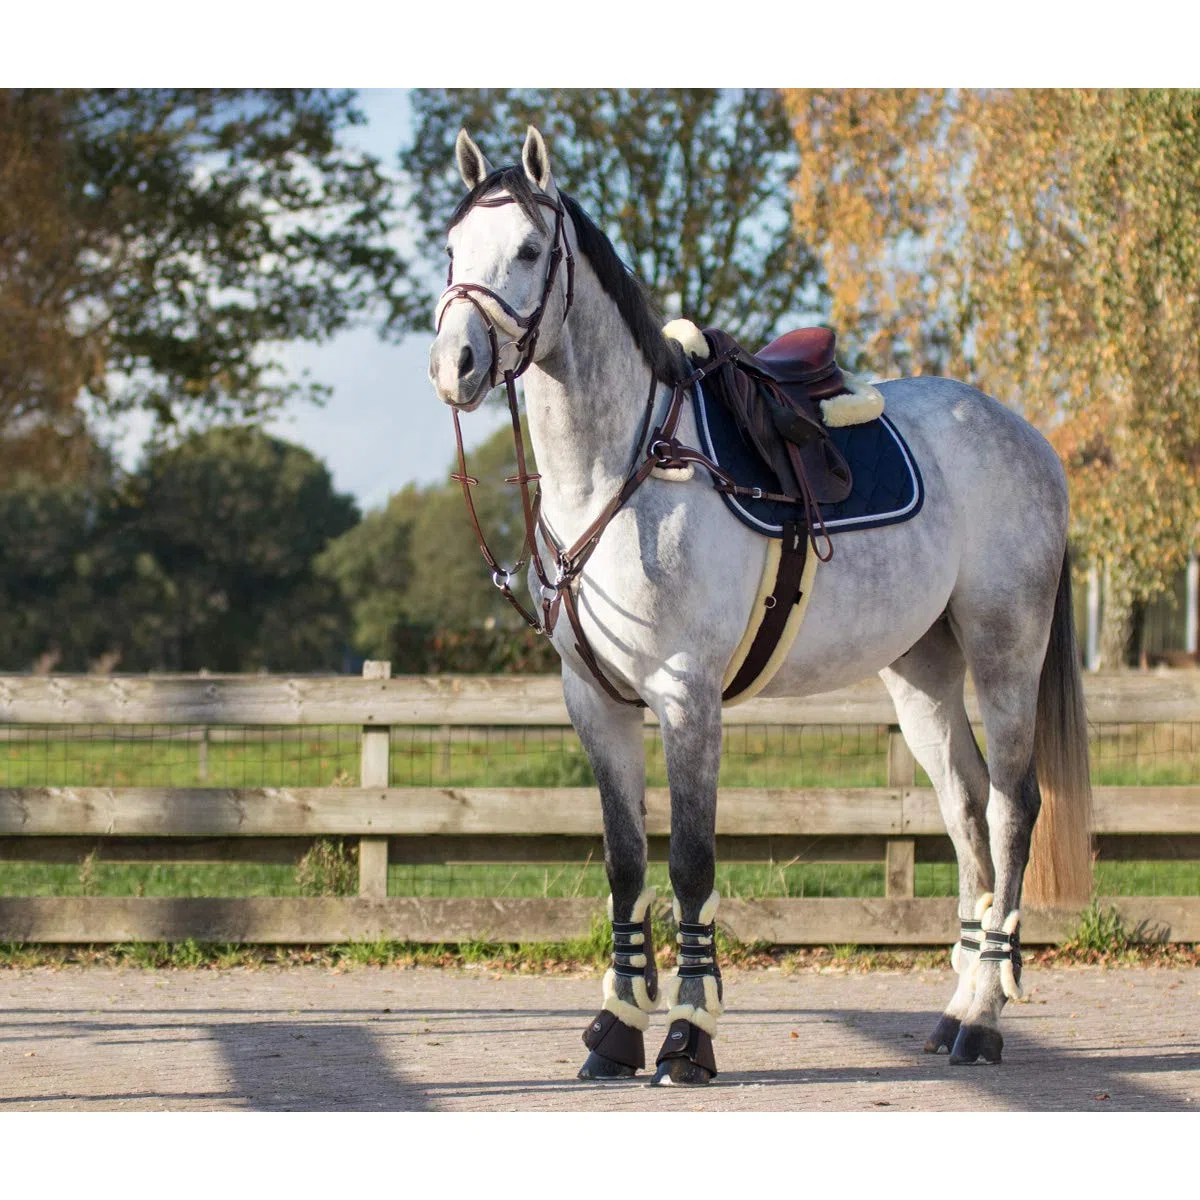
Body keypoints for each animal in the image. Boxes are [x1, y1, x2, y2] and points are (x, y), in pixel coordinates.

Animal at [428, 126, 1092, 1086]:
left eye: (525, 249)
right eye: (451, 250)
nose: (456, 365)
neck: (624, 469)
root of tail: (1027, 435)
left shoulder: (685, 699)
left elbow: (690, 864)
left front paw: (687, 1035)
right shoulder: (595, 702)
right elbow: (625, 862)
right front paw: (617, 1027)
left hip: (1006, 656)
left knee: (1010, 812)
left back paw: (984, 1018)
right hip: (923, 674)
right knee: (965, 811)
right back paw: (956, 1003)